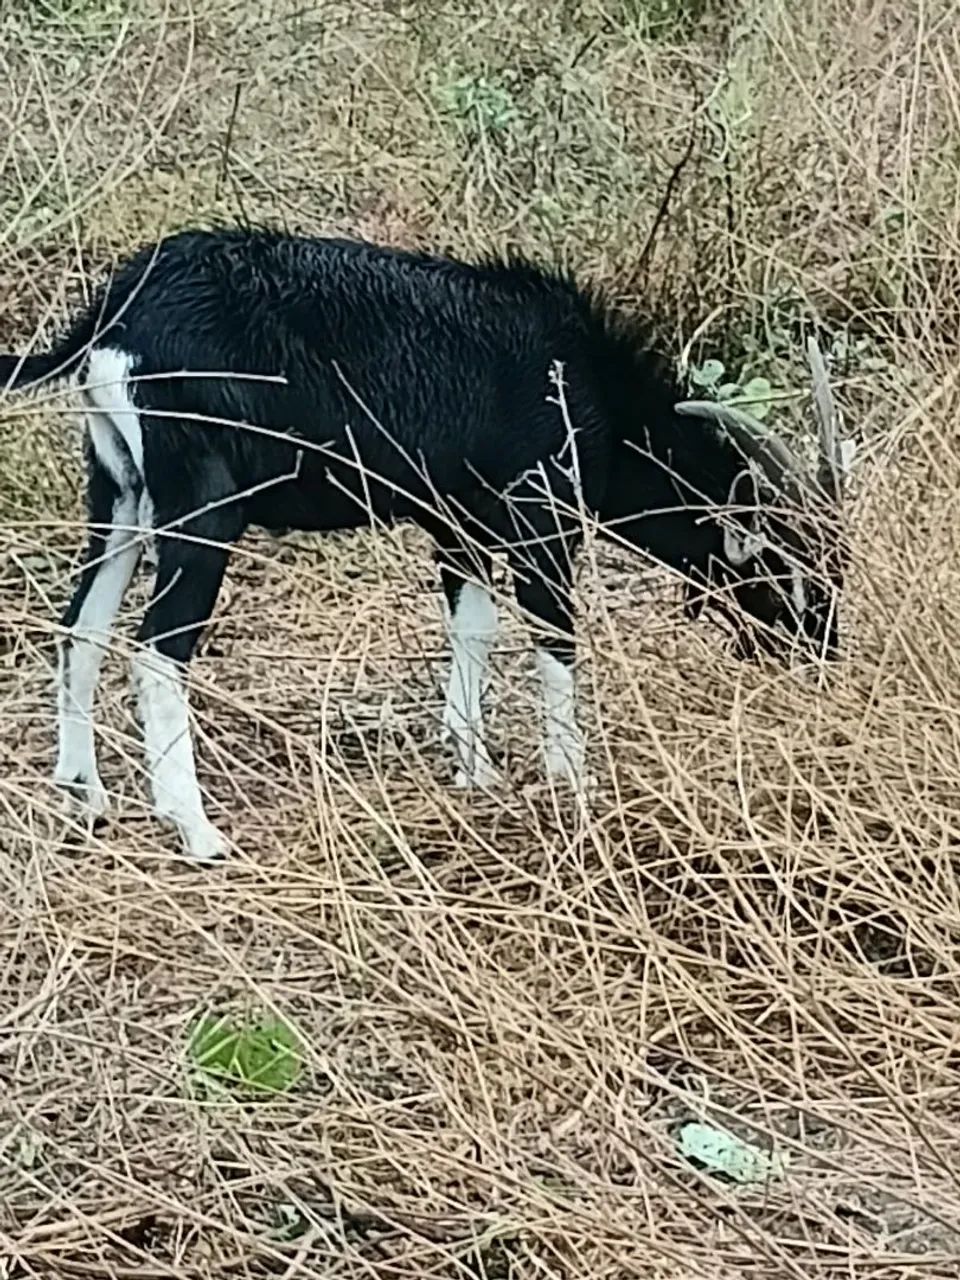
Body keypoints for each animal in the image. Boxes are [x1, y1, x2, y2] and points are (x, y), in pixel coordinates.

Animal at [0, 228, 850, 861]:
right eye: (796, 571)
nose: (826, 658)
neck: (582, 379)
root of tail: (117, 313)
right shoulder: (541, 517)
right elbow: (555, 639)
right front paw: (571, 780)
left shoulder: (456, 523)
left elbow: (472, 626)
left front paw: (473, 767)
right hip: (202, 503)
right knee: (158, 649)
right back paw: (196, 830)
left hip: (118, 486)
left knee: (81, 627)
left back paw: (84, 795)